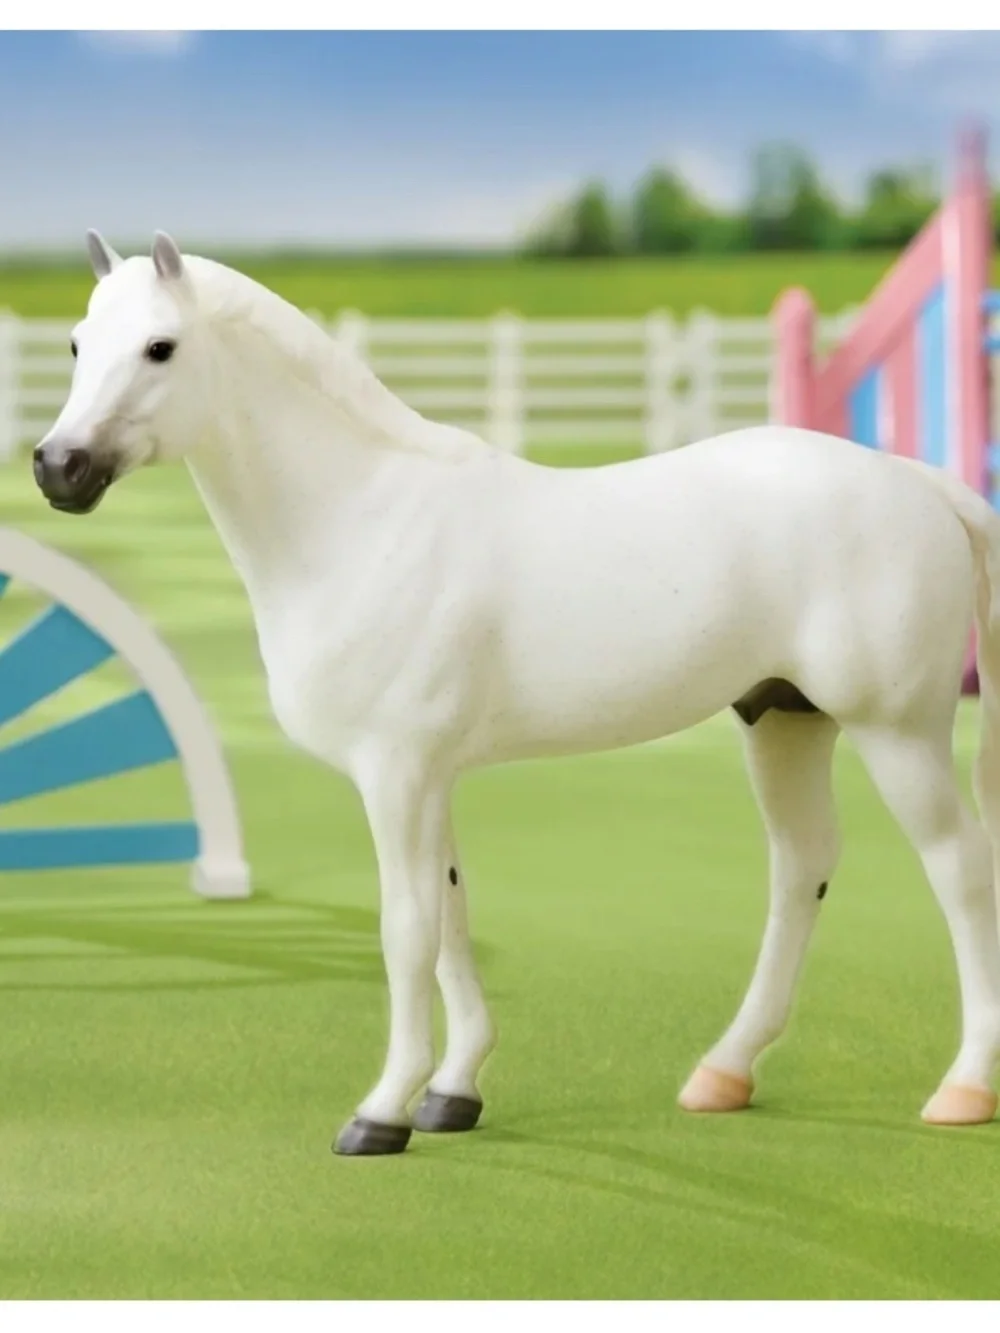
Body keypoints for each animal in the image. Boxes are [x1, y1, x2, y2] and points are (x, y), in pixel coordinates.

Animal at [32, 230, 1000, 1155]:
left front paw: (381, 1112)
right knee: (803, 868)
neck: (364, 520)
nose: (57, 467)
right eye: (77, 342)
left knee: (959, 870)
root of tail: (918, 482)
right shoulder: (430, 777)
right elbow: (453, 915)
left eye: (160, 346)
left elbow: (408, 928)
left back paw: (963, 1088)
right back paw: (724, 1073)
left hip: (897, 732)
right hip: (784, 721)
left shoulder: (397, 773)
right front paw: (452, 1092)